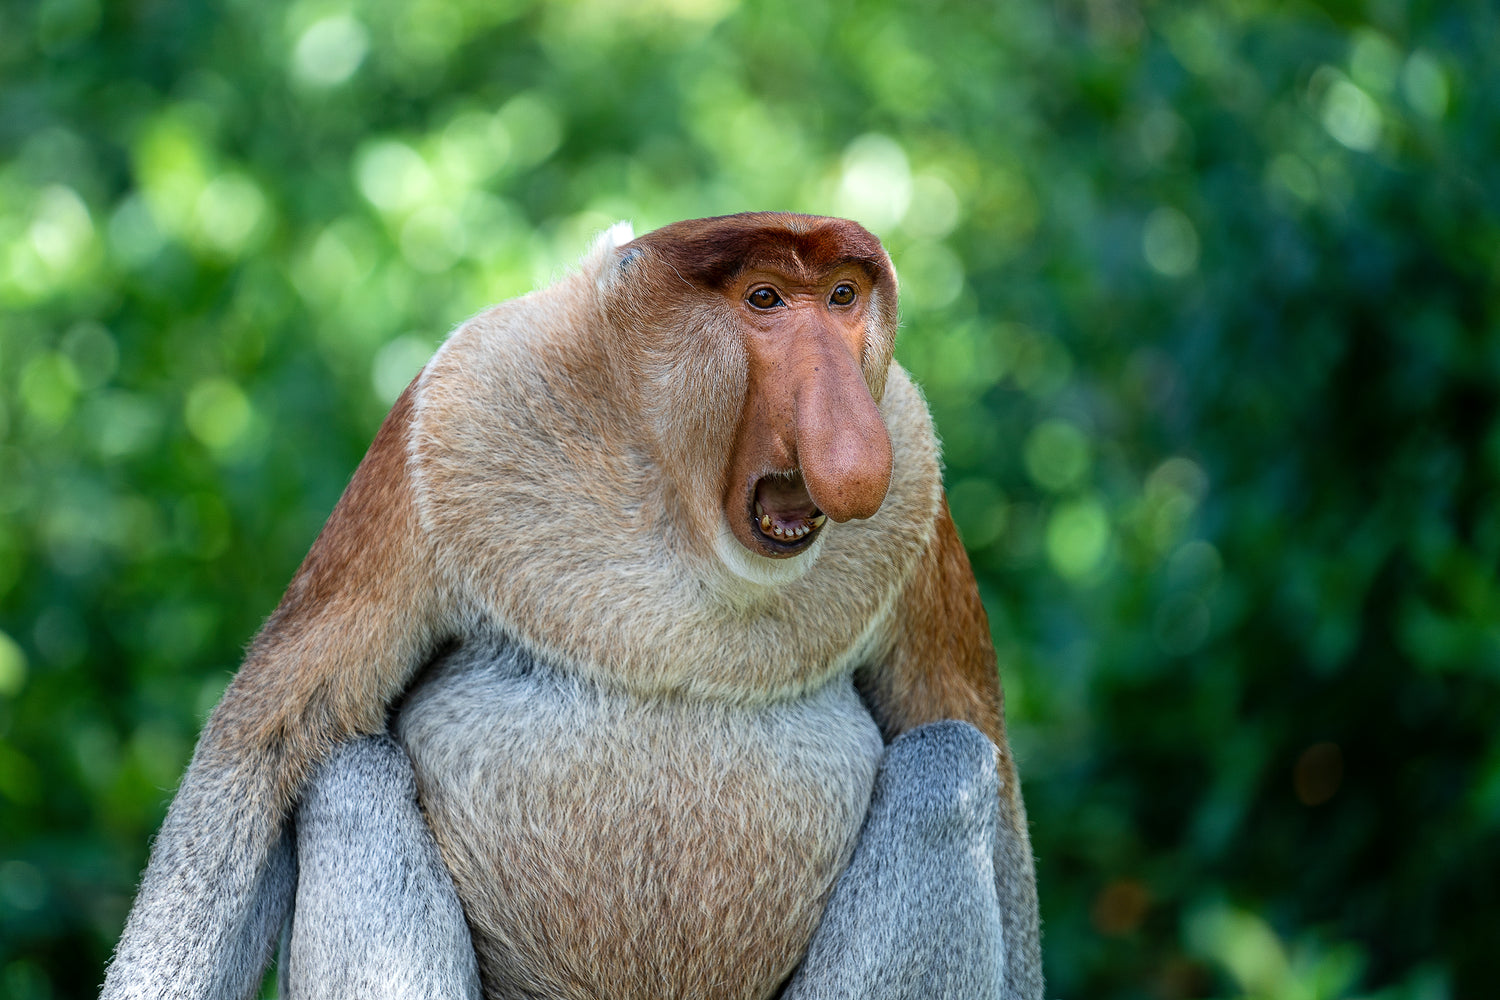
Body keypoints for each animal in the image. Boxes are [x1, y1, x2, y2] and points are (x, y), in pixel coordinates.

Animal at [101, 213, 1041, 1000]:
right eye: (765, 299)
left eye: (844, 297)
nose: (850, 443)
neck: (675, 504)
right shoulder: (447, 418)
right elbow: (267, 740)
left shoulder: (913, 468)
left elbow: (971, 741)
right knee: (349, 772)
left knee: (950, 764)